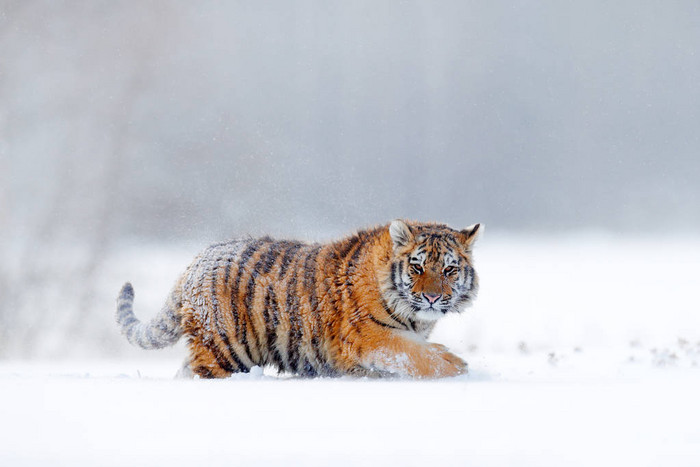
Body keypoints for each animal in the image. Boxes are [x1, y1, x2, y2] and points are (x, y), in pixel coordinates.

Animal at [117, 220, 484, 380]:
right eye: (417, 266)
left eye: (450, 269)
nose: (433, 297)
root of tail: (196, 261)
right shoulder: (369, 336)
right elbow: (413, 354)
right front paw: (457, 366)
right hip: (223, 350)